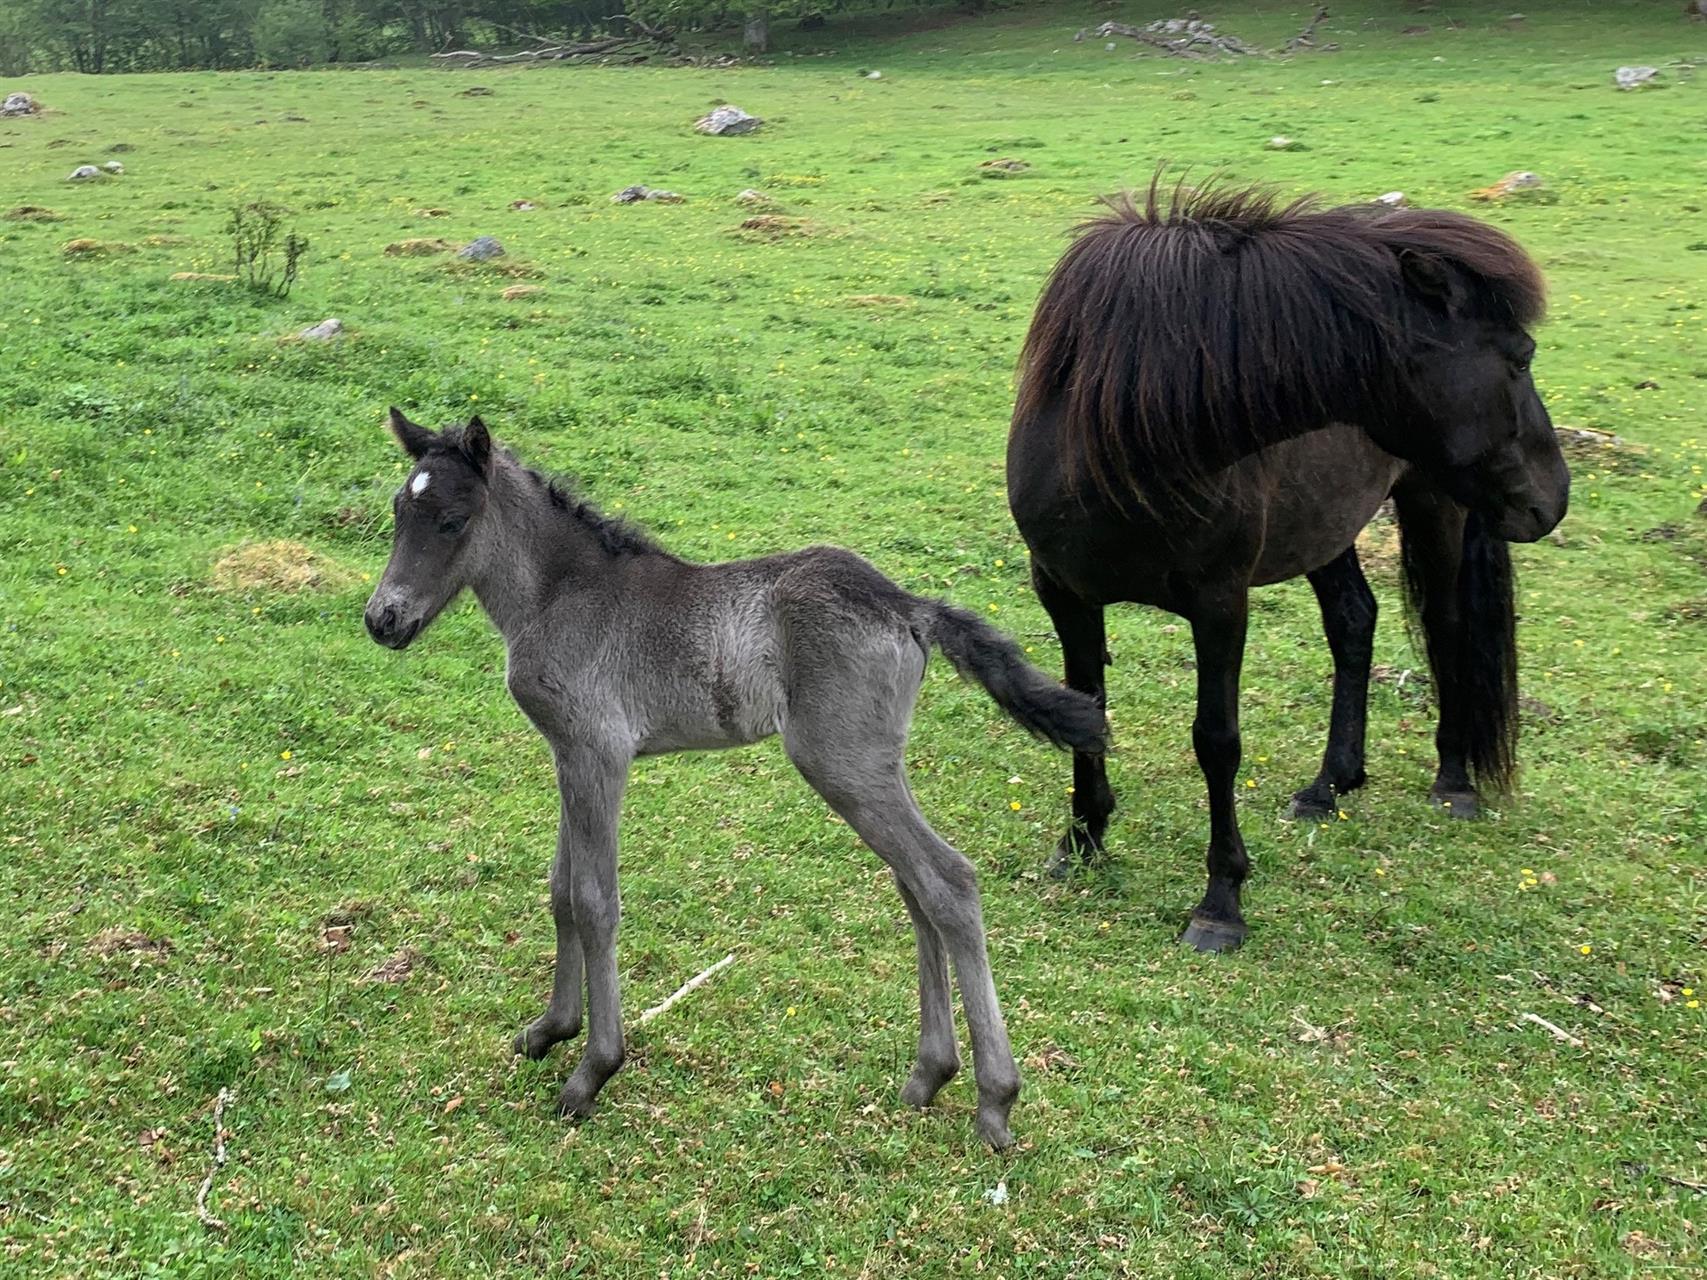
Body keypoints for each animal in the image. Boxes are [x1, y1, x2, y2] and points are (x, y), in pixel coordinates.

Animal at [1003, 178, 1563, 955]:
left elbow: (1216, 741)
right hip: (1326, 529)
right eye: (1520, 357)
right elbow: (1083, 711)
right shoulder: (1063, 591)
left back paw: (1453, 783)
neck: (1123, 443)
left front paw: (1219, 902)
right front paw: (1082, 840)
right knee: (1354, 623)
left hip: (1435, 502)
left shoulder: (1219, 603)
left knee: (1446, 627)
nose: (1552, 500)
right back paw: (1330, 785)